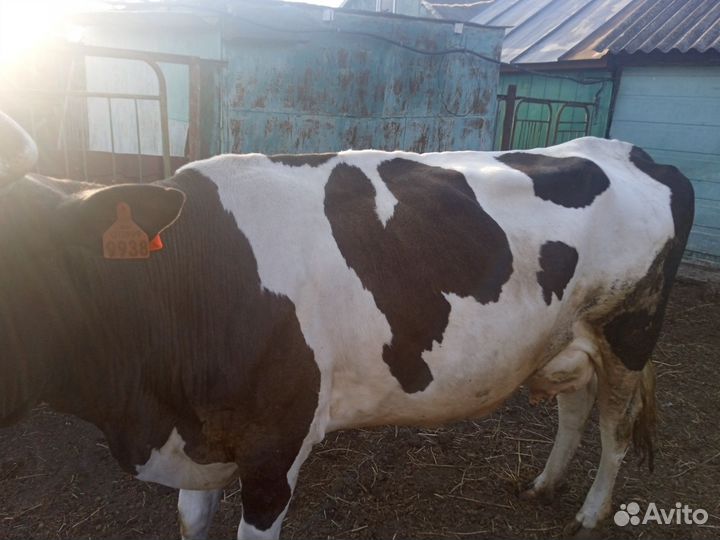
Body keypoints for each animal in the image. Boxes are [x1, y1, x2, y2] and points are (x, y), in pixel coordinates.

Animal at [0, 109, 694, 539]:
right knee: (575, 405)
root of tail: (631, 152)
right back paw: (544, 485)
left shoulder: (274, 451)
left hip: (629, 331)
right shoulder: (200, 446)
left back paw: (590, 513)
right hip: (568, 336)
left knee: (615, 428)